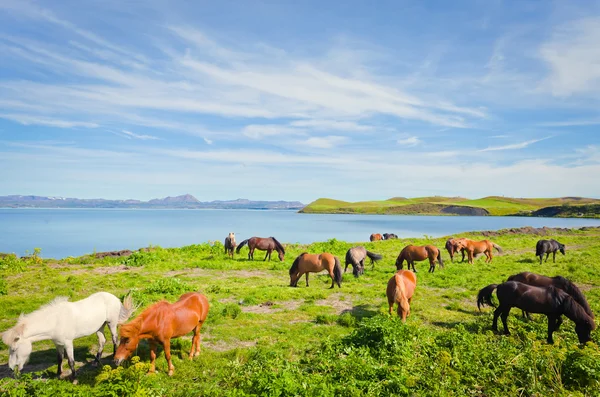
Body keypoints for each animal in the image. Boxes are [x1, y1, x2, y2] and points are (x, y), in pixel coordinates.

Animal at [1, 290, 134, 380]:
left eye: (14, 349)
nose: (11, 368)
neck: (55, 321)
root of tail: (114, 297)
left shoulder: (68, 343)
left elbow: (71, 361)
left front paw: (74, 378)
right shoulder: (58, 344)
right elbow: (60, 359)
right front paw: (58, 374)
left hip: (111, 323)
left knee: (114, 339)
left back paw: (113, 357)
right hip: (100, 326)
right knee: (102, 341)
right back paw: (96, 362)